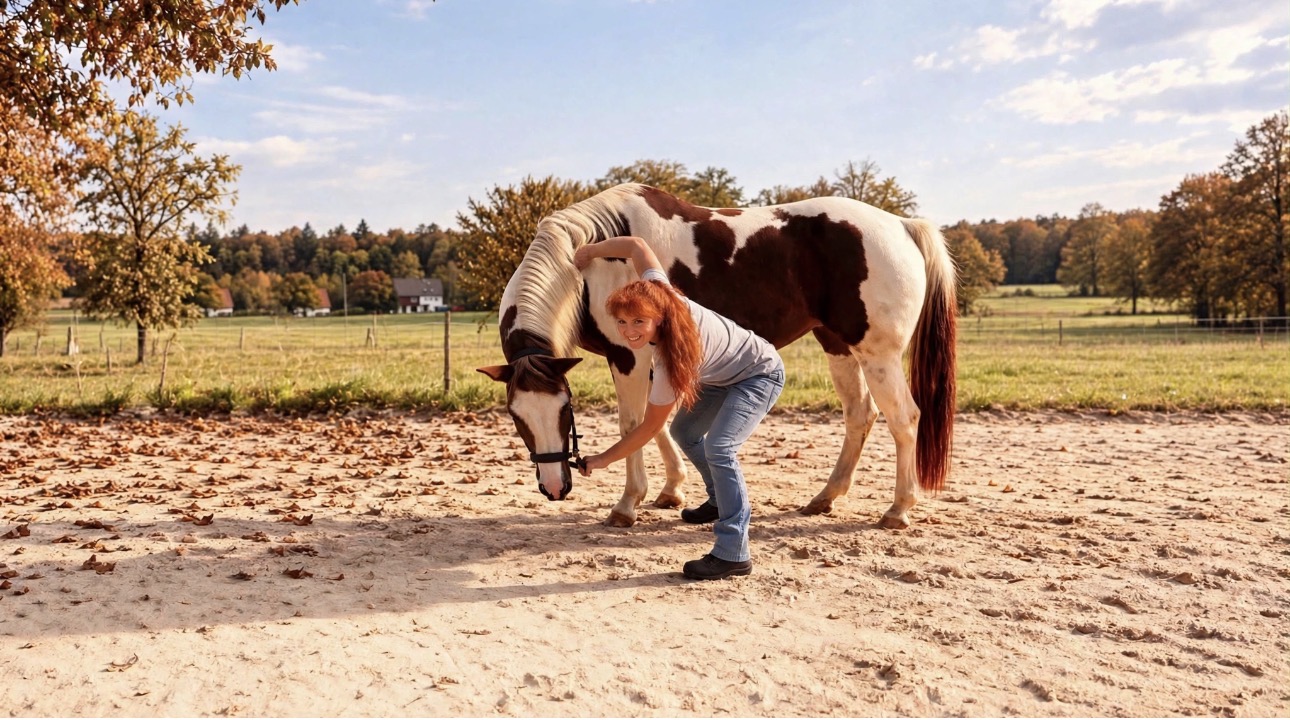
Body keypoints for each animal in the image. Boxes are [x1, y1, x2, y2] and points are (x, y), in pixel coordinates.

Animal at [477, 183, 957, 529]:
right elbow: (657, 425)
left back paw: (898, 510)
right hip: (838, 346)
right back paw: (825, 498)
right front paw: (671, 490)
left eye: (565, 411)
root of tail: (901, 225)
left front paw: (628, 504)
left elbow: (633, 425)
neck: (593, 257)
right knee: (860, 414)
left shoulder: (628, 357)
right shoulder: (651, 360)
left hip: (878, 354)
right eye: (517, 417)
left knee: (904, 419)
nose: (554, 487)